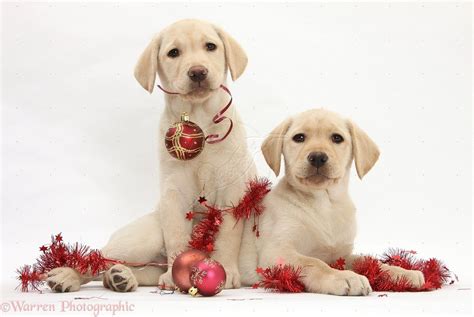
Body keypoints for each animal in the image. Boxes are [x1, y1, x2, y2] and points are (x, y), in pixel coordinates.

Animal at [45, 19, 256, 292]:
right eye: (173, 53)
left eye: (211, 46)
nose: (198, 72)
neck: (199, 118)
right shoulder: (174, 191)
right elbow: (176, 234)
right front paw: (178, 273)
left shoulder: (232, 189)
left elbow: (227, 235)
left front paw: (226, 270)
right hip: (144, 239)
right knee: (95, 259)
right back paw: (67, 276)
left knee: (129, 270)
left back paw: (120, 277)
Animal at [239, 108, 424, 294]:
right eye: (299, 137)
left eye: (337, 138)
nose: (317, 157)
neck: (325, 204)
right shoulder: (277, 251)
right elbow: (314, 263)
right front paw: (344, 277)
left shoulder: (341, 255)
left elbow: (369, 261)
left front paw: (401, 273)